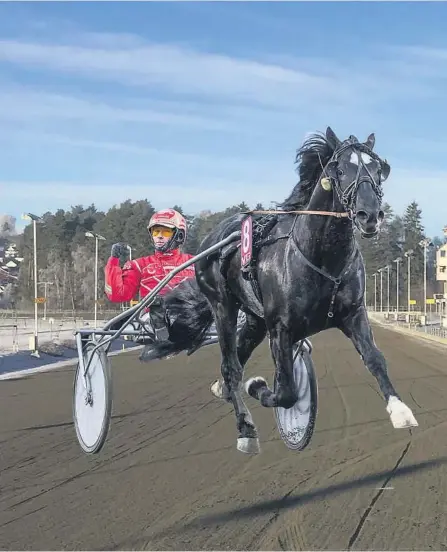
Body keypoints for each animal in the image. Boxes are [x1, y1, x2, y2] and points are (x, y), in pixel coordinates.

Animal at [144, 127, 420, 454]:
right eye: (340, 170)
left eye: (379, 170)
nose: (370, 215)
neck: (320, 257)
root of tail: (214, 237)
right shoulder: (281, 328)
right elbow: (286, 391)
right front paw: (258, 387)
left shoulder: (353, 313)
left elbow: (374, 357)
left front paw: (400, 410)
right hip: (223, 305)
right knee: (231, 366)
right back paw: (245, 428)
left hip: (254, 318)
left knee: (238, 354)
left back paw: (222, 389)